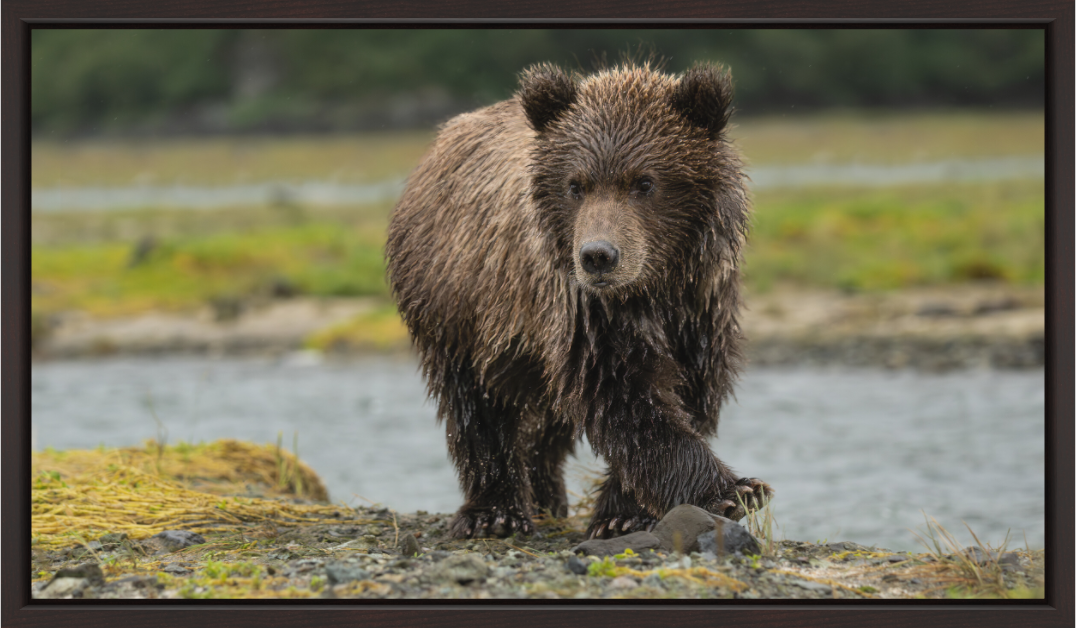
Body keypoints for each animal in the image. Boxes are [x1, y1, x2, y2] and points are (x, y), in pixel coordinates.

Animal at [386, 61, 772, 539]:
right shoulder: (583, 309)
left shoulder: (698, 306)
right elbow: (625, 396)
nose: (598, 255)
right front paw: (732, 490)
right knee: (475, 405)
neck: (650, 288)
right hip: (460, 303)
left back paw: (546, 495)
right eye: (576, 185)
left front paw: (624, 513)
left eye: (645, 182)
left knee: (545, 426)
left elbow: (687, 389)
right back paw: (495, 512)